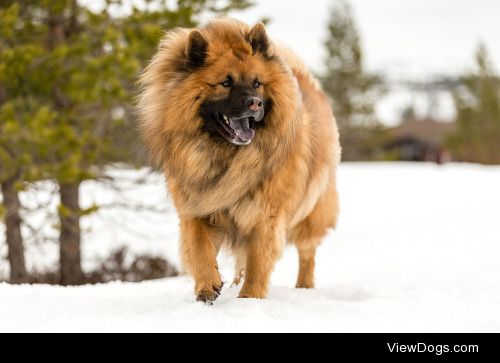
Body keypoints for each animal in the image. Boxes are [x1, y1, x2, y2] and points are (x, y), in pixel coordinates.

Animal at [138, 19, 340, 304]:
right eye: (225, 82)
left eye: (257, 83)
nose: (254, 104)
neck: (227, 157)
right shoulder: (197, 207)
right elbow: (199, 249)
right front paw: (208, 286)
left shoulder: (264, 217)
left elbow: (258, 266)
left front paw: (249, 300)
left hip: (311, 211)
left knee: (307, 253)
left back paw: (304, 287)